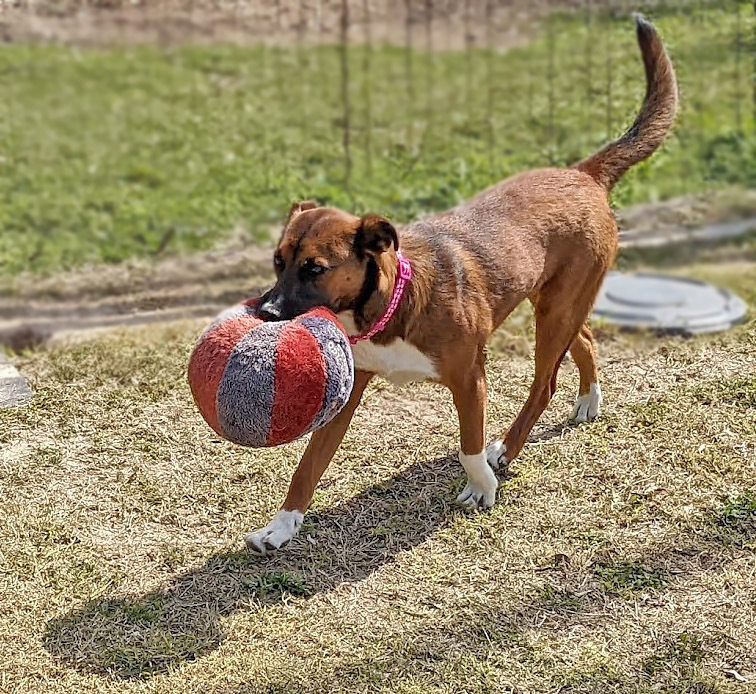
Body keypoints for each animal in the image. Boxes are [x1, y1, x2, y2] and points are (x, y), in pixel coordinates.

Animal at [245, 16, 676, 556]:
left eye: (314, 268)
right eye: (277, 261)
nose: (264, 312)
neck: (391, 307)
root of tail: (583, 174)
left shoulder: (470, 379)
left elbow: (468, 445)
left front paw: (480, 486)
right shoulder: (347, 395)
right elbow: (306, 468)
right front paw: (282, 526)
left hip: (555, 310)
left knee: (544, 383)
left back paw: (507, 450)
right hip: (554, 301)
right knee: (585, 339)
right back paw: (588, 400)